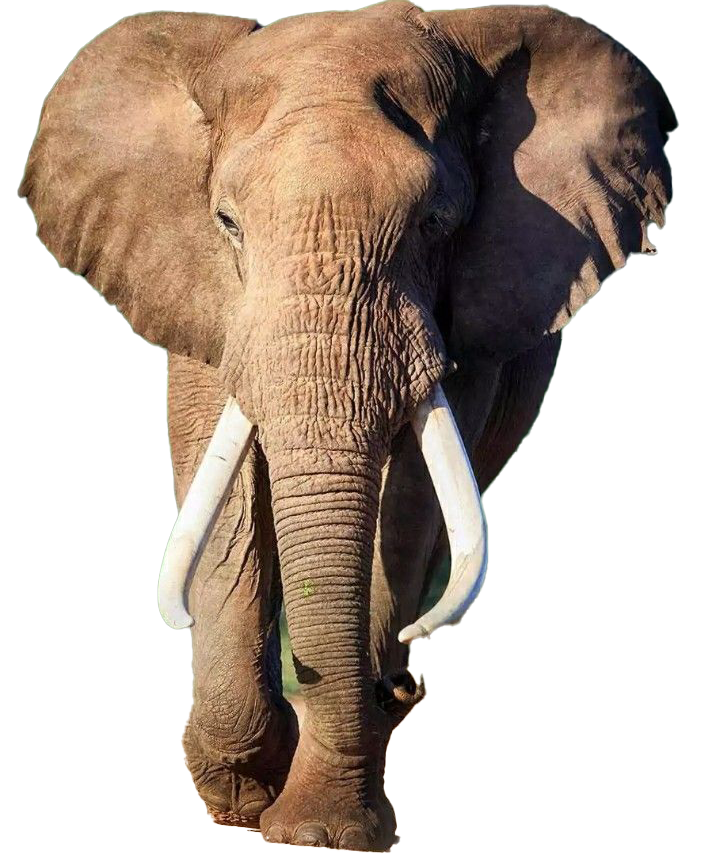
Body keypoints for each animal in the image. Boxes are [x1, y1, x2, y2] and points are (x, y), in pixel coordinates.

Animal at [20, 0, 675, 850]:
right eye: (227, 222)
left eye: (435, 223)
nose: (400, 685)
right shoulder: (201, 295)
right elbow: (226, 494)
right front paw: (246, 790)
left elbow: (409, 507)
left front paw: (319, 830)